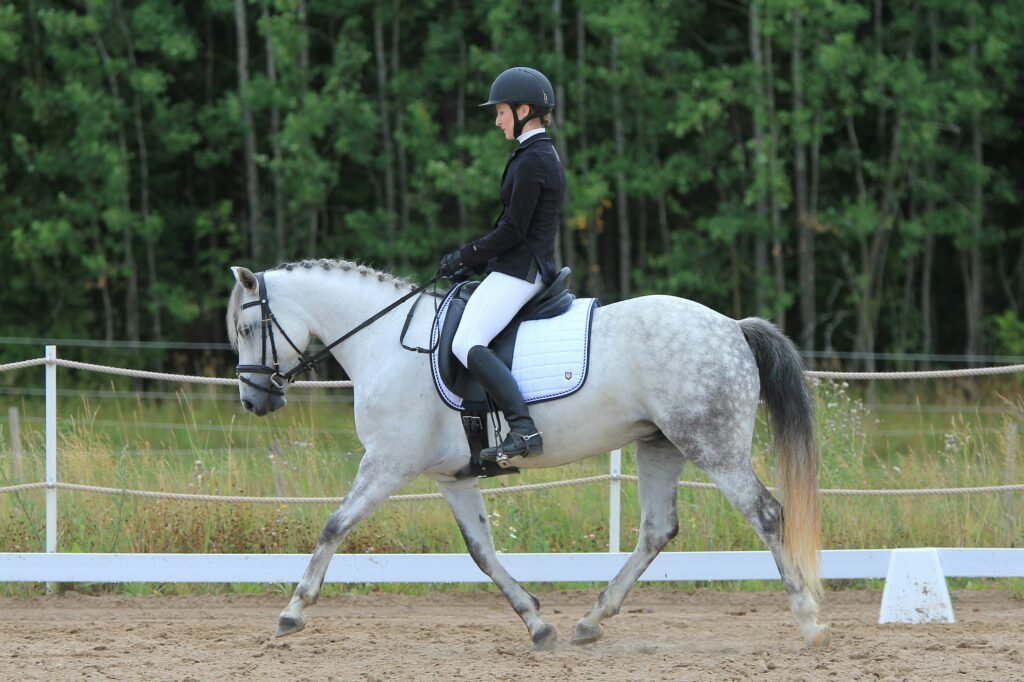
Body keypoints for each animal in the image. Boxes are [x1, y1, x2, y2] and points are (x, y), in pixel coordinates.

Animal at [226, 259, 831, 647]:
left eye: (249, 326)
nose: (255, 400)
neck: (385, 343)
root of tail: (731, 326)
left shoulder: (387, 464)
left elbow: (334, 525)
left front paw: (291, 613)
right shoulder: (453, 477)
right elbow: (482, 552)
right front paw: (537, 623)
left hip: (711, 445)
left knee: (767, 514)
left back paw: (808, 621)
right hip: (659, 445)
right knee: (658, 529)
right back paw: (591, 621)